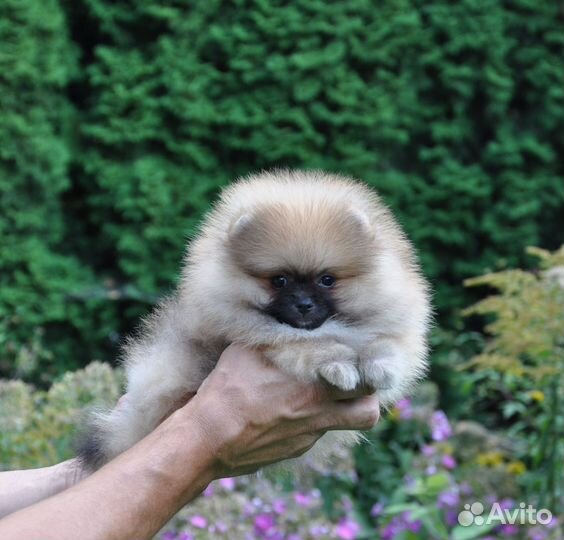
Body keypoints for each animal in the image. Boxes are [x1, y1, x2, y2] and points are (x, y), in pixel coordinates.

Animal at [78, 171, 432, 470]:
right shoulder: (261, 335)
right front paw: (337, 364)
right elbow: (306, 346)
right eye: (279, 280)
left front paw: (381, 366)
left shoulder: (391, 325)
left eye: (327, 280)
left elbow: (387, 345)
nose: (303, 304)